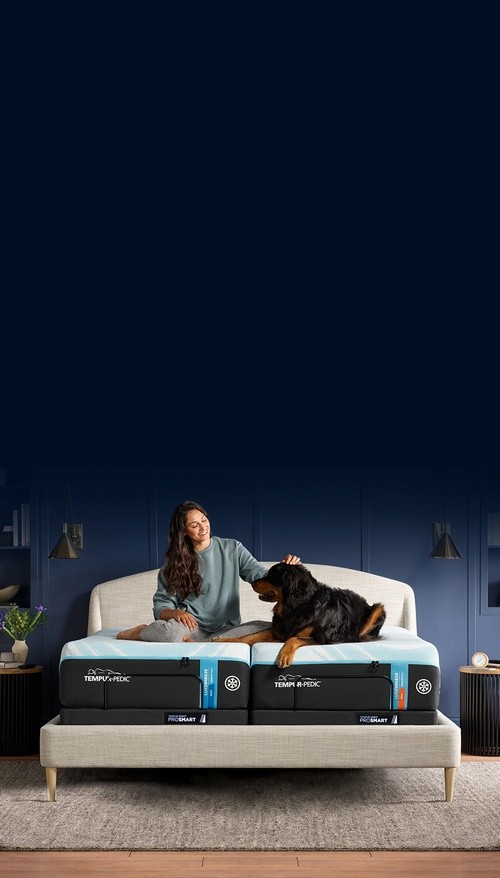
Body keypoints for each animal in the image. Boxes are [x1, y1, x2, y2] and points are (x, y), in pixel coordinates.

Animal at [215, 560, 386, 672]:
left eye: (271, 575)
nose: (252, 582)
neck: (295, 606)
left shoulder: (321, 639)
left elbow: (294, 638)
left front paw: (284, 654)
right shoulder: (277, 629)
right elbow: (248, 636)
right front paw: (225, 640)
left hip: (378, 609)